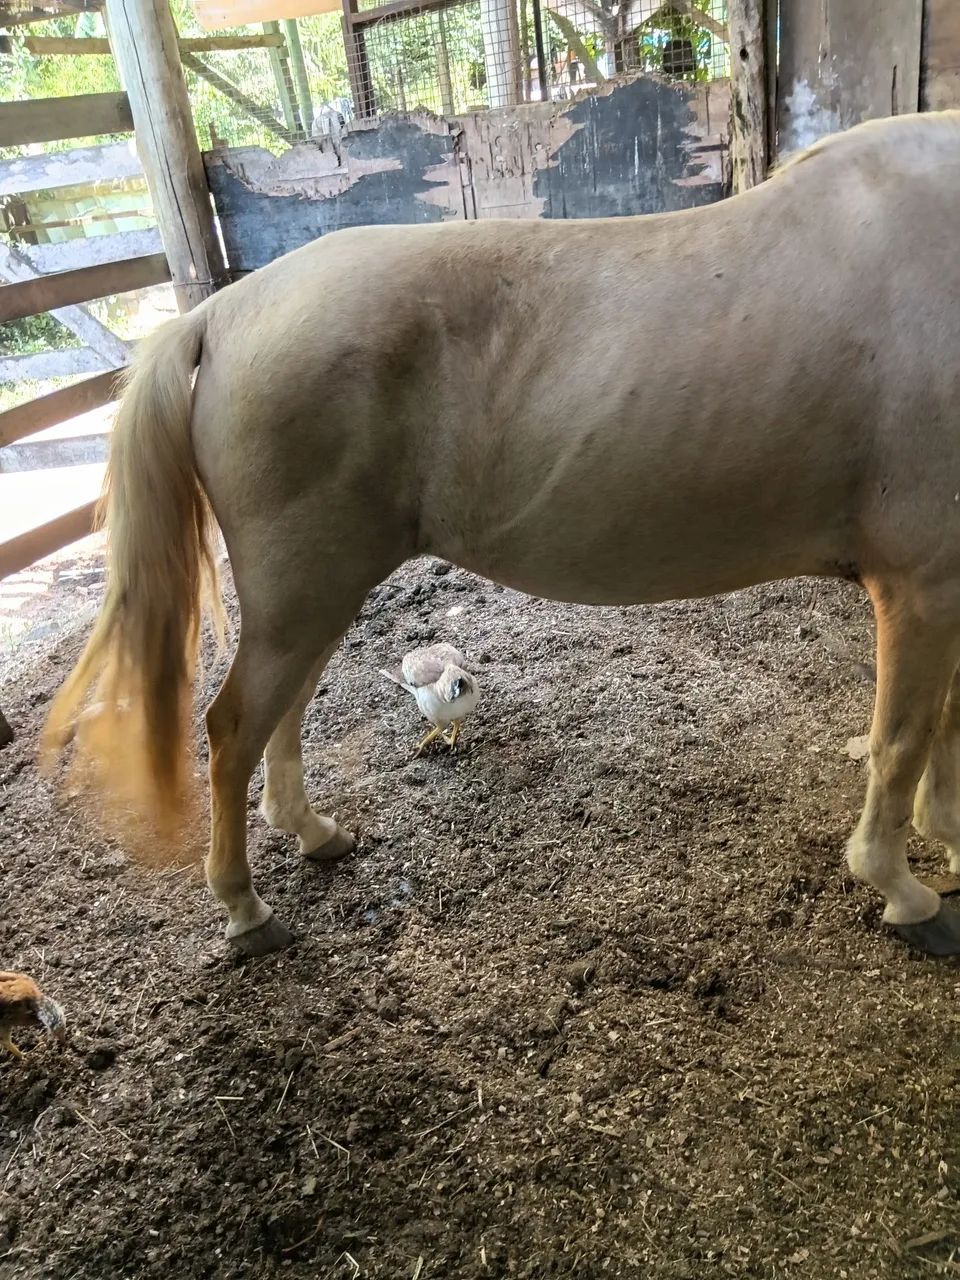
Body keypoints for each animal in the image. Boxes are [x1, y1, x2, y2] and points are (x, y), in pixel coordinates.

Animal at [42, 110, 960, 959]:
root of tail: (224, 310)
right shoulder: (921, 587)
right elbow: (903, 742)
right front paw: (902, 889)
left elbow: (942, 730)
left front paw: (945, 838)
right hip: (301, 595)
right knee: (234, 728)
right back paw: (243, 907)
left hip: (314, 597)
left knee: (284, 714)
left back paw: (313, 834)